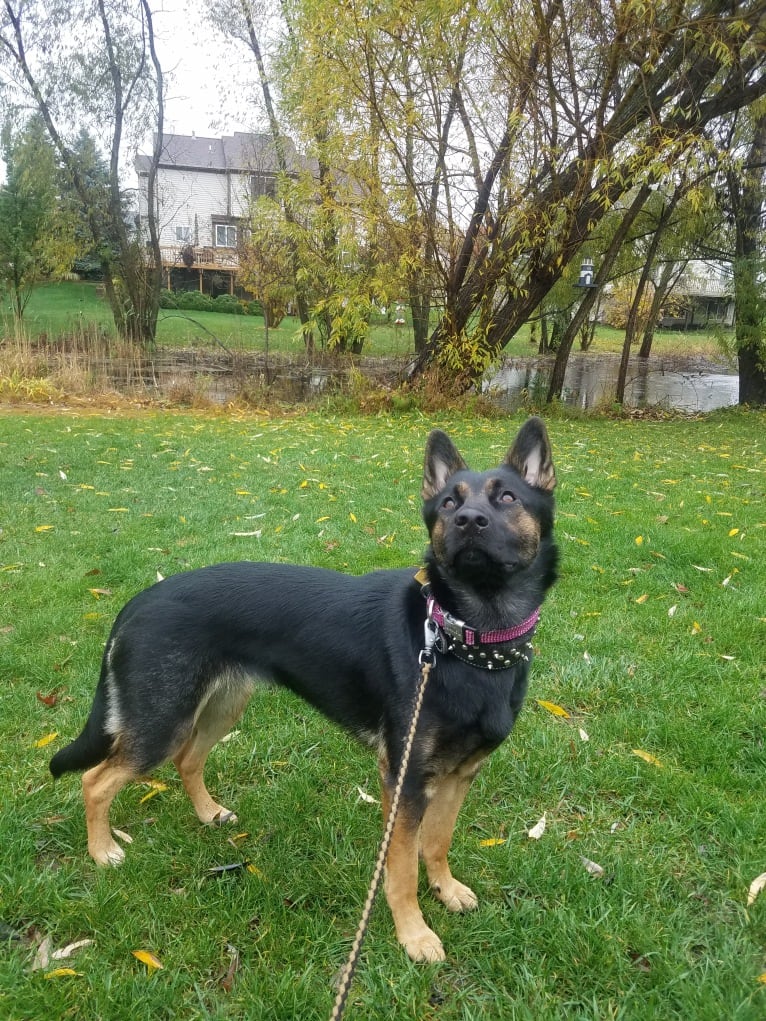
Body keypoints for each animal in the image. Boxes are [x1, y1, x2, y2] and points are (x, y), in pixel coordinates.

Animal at [51, 418, 559, 959]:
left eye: (507, 497)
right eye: (447, 503)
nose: (467, 520)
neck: (463, 637)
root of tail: (138, 601)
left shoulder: (460, 774)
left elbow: (437, 843)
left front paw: (446, 890)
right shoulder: (404, 781)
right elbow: (400, 868)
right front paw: (413, 934)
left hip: (222, 706)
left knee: (188, 760)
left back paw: (208, 814)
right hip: (161, 723)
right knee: (96, 780)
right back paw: (103, 850)